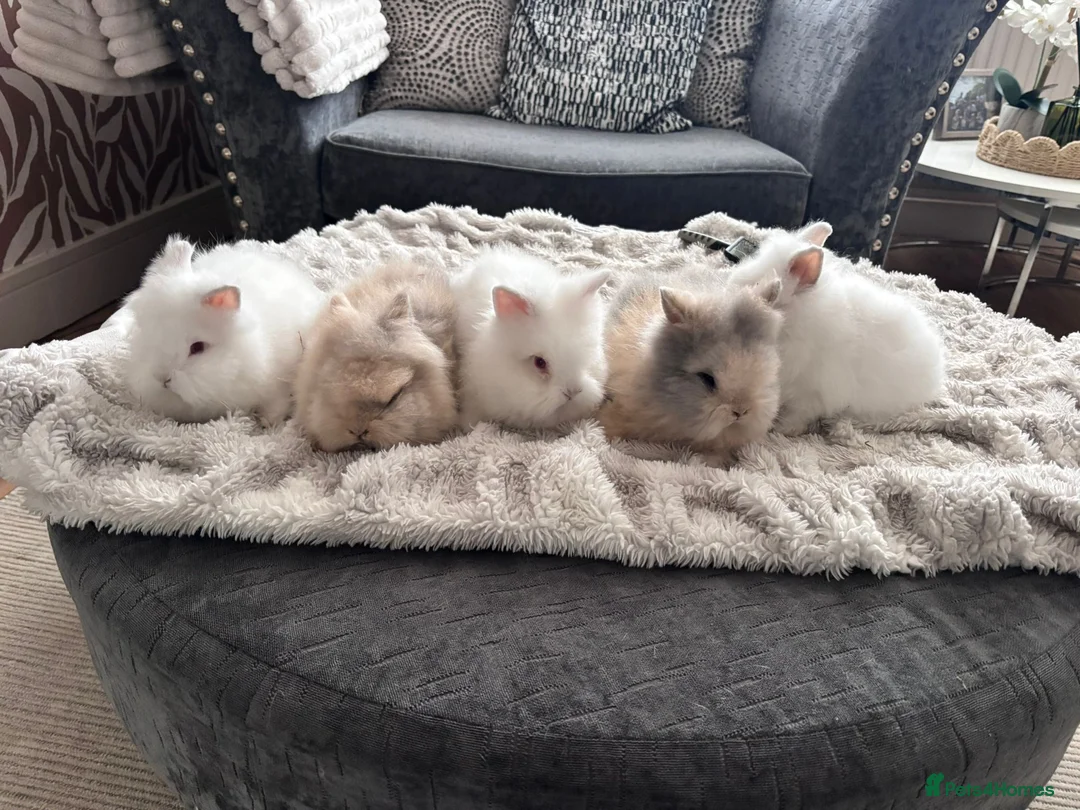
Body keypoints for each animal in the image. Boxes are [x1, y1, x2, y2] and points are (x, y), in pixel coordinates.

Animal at [124, 235, 326, 425]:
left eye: (197, 347)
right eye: (147, 334)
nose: (161, 378)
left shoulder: (277, 385)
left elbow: (276, 405)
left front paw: (268, 422)